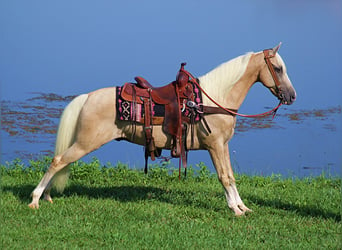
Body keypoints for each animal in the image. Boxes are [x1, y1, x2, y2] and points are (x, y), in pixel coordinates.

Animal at [29, 44, 296, 216]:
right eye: (278, 69)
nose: (292, 96)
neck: (213, 99)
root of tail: (87, 97)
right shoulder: (215, 145)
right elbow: (225, 176)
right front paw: (236, 210)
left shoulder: (223, 146)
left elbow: (230, 175)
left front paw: (242, 207)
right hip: (86, 143)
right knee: (58, 161)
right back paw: (35, 200)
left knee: (61, 162)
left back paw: (47, 196)